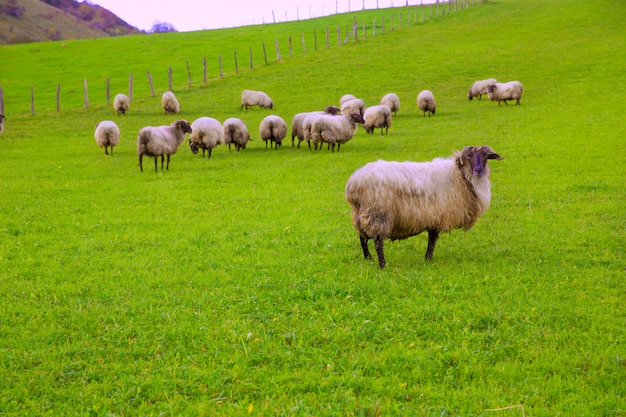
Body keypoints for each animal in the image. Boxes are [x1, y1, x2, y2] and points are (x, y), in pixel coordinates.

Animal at [344, 145, 500, 268]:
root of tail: (354, 182)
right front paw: (428, 258)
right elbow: (433, 239)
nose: (478, 170)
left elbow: (431, 239)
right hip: (378, 215)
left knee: (362, 238)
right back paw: (382, 264)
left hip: (360, 215)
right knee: (377, 242)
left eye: (486, 156)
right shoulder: (438, 216)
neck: (459, 176)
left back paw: (368, 258)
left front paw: (427, 259)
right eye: (468, 156)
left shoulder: (434, 217)